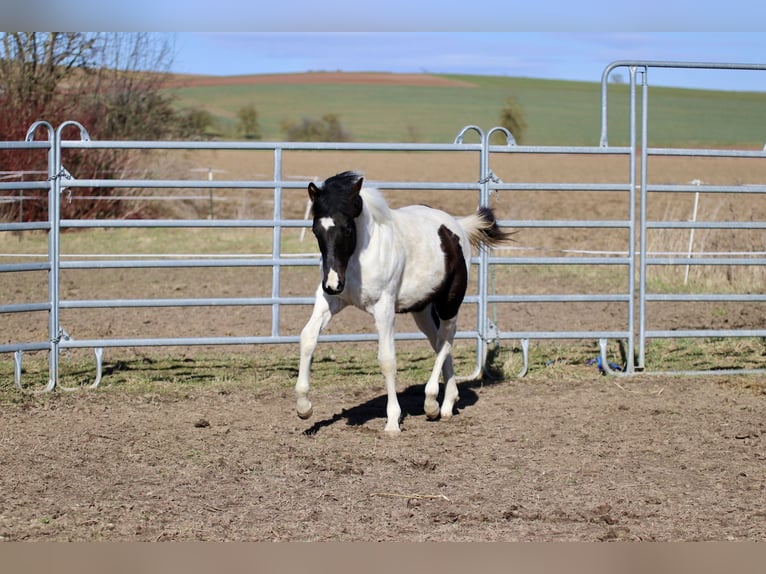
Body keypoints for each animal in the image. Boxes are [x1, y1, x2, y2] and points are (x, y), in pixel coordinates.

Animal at [295, 171, 511, 433]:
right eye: (316, 229)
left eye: (347, 228)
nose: (333, 283)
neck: (358, 259)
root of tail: (457, 226)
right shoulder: (329, 301)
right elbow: (307, 338)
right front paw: (304, 408)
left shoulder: (384, 308)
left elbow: (387, 360)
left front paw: (392, 422)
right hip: (422, 311)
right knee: (438, 342)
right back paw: (446, 404)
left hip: (449, 303)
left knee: (446, 339)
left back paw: (433, 402)